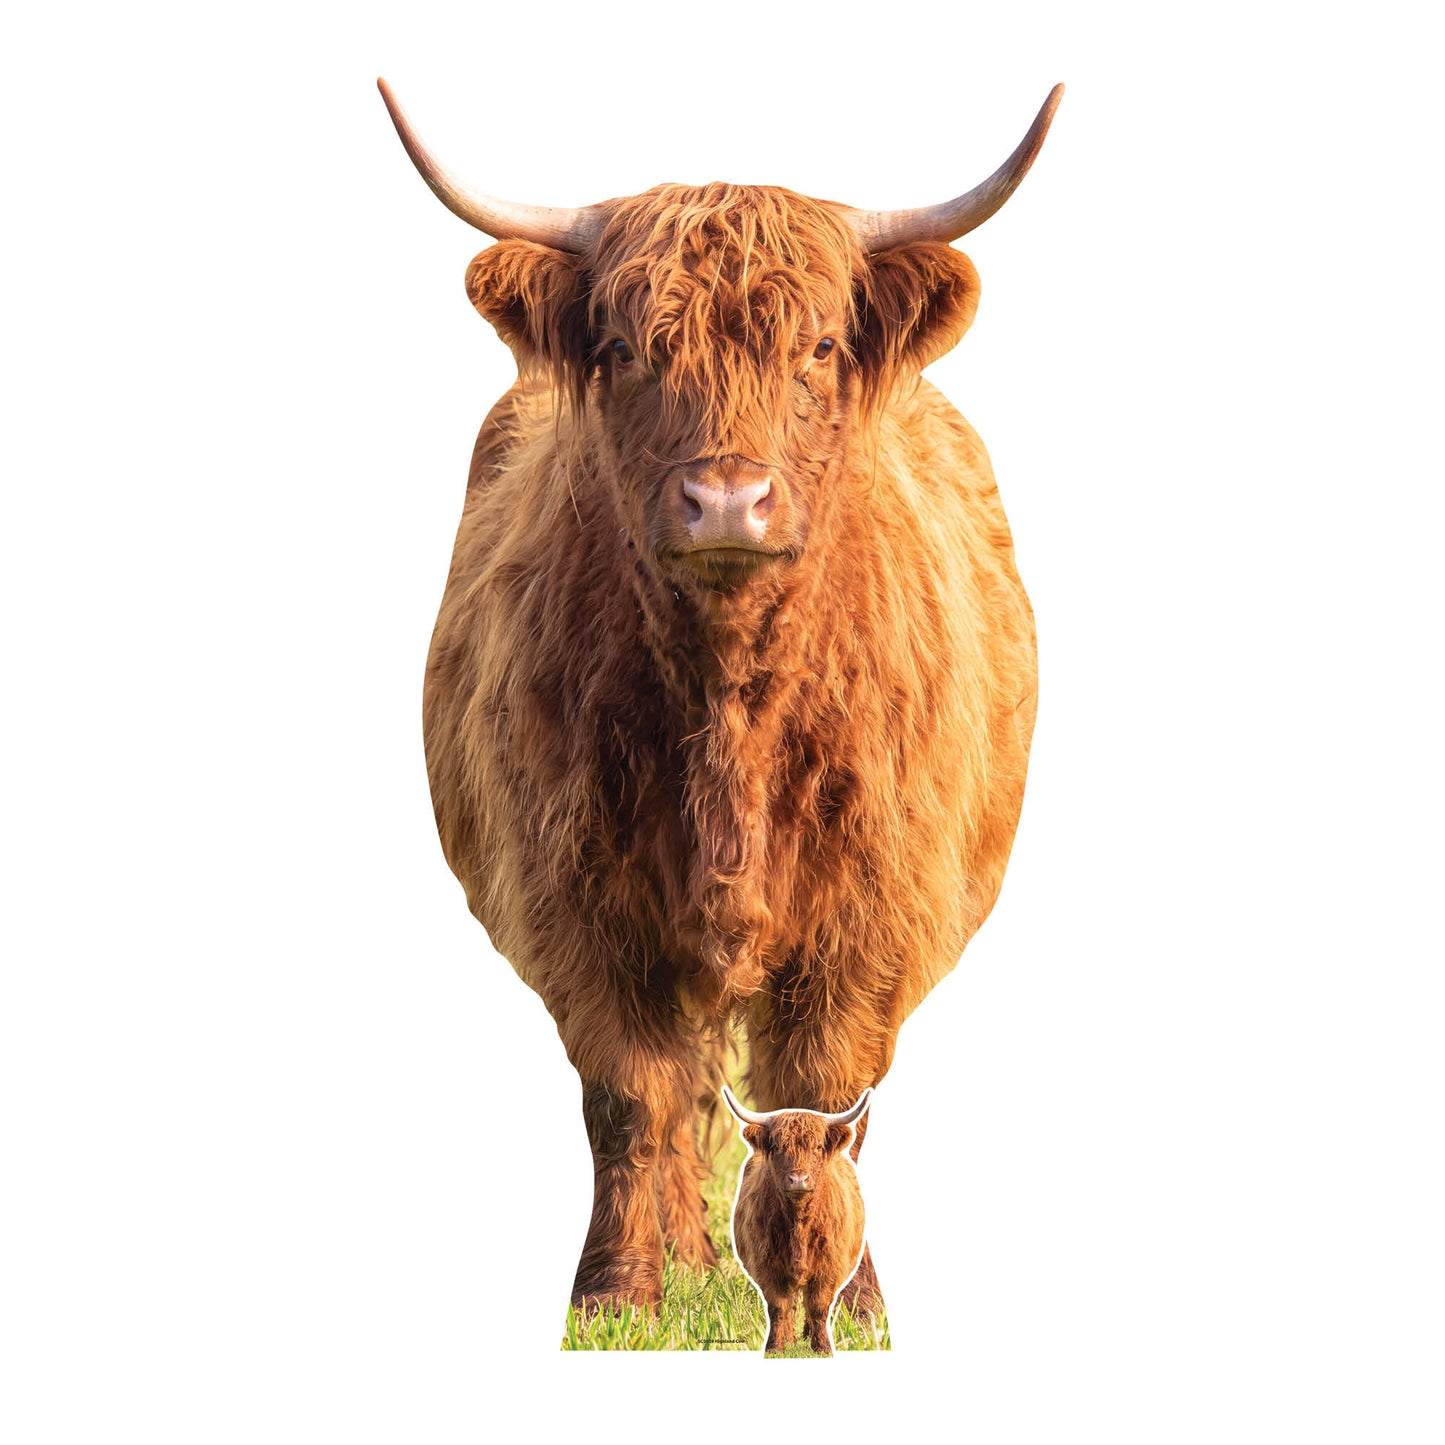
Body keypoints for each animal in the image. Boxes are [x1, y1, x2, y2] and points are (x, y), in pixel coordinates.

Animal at [378, 78, 1059, 1315]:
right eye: (621, 345)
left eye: (820, 345)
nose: (727, 499)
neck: (729, 698)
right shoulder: (573, 893)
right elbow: (631, 1095)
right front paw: (617, 1291)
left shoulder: (872, 905)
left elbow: (825, 1088)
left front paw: (859, 1302)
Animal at [723, 1086, 872, 1356]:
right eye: (778, 1147)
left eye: (817, 1147)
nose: (798, 1179)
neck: (799, 1221)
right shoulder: (768, 1267)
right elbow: (779, 1307)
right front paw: (775, 1348)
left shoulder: (829, 1268)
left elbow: (819, 1307)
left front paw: (822, 1347)